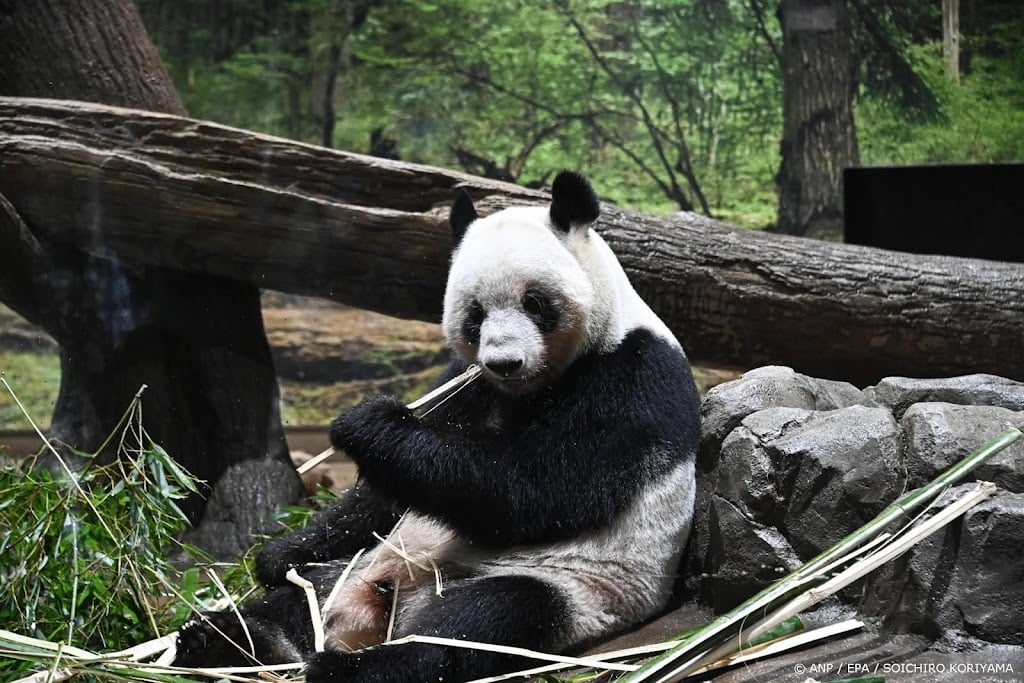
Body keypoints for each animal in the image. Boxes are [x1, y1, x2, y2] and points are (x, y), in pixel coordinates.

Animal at [174, 171, 700, 682]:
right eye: (475, 314)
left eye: (535, 303)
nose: (504, 362)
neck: (529, 391)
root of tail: (386, 610)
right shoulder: (466, 383)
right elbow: (386, 495)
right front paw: (278, 556)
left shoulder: (629, 378)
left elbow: (539, 488)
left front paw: (369, 424)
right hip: (356, 566)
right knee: (300, 601)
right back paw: (227, 640)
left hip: (575, 588)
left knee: (480, 622)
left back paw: (352, 668)